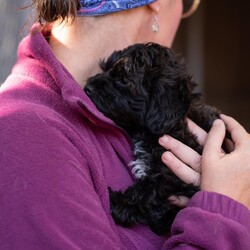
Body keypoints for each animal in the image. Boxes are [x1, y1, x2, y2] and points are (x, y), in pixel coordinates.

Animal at [84, 42, 221, 235]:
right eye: (105, 68)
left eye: (124, 80)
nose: (87, 87)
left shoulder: (170, 171)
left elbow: (148, 190)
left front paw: (116, 202)